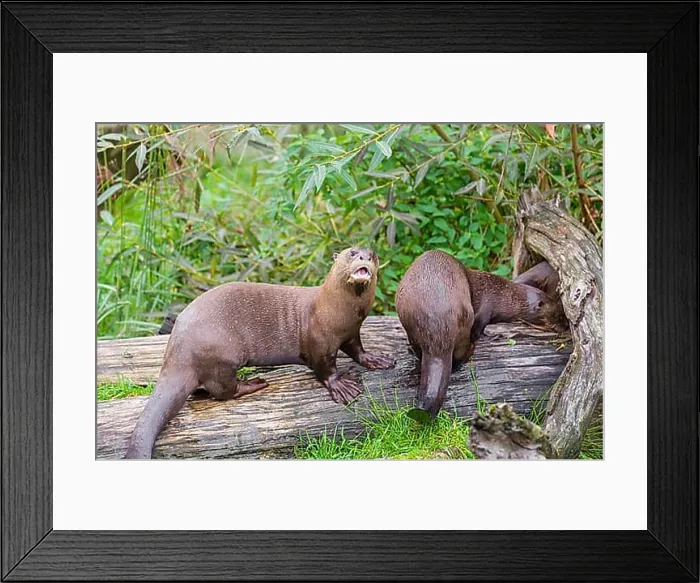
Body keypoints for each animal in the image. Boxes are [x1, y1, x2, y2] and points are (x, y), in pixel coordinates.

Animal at [125, 247, 395, 459]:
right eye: (352, 253)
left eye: (373, 254)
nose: (365, 257)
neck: (339, 311)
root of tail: (176, 351)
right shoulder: (319, 341)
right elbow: (325, 368)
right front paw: (342, 386)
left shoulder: (351, 333)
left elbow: (357, 350)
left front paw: (376, 359)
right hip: (222, 355)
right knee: (223, 392)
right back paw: (254, 383)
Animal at [395, 250, 566, 423]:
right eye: (557, 315)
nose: (565, 327)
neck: (504, 296)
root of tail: (437, 331)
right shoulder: (486, 307)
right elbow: (479, 329)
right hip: (464, 317)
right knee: (461, 354)